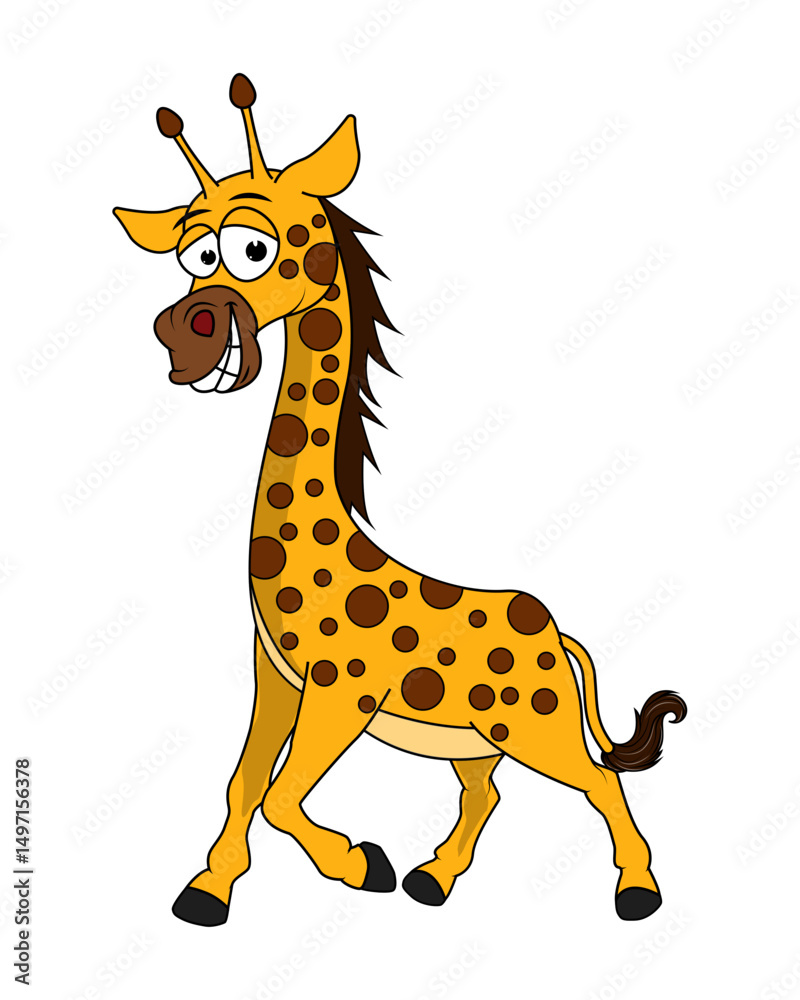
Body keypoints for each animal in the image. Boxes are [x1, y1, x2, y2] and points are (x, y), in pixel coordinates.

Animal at [114, 74, 687, 928]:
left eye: (253, 247)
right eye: (194, 255)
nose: (187, 330)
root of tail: (561, 637)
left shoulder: (340, 694)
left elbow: (280, 798)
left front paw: (361, 864)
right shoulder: (274, 679)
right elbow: (245, 784)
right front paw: (208, 892)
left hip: (537, 726)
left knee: (599, 781)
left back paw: (638, 891)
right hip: (479, 738)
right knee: (487, 794)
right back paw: (433, 879)